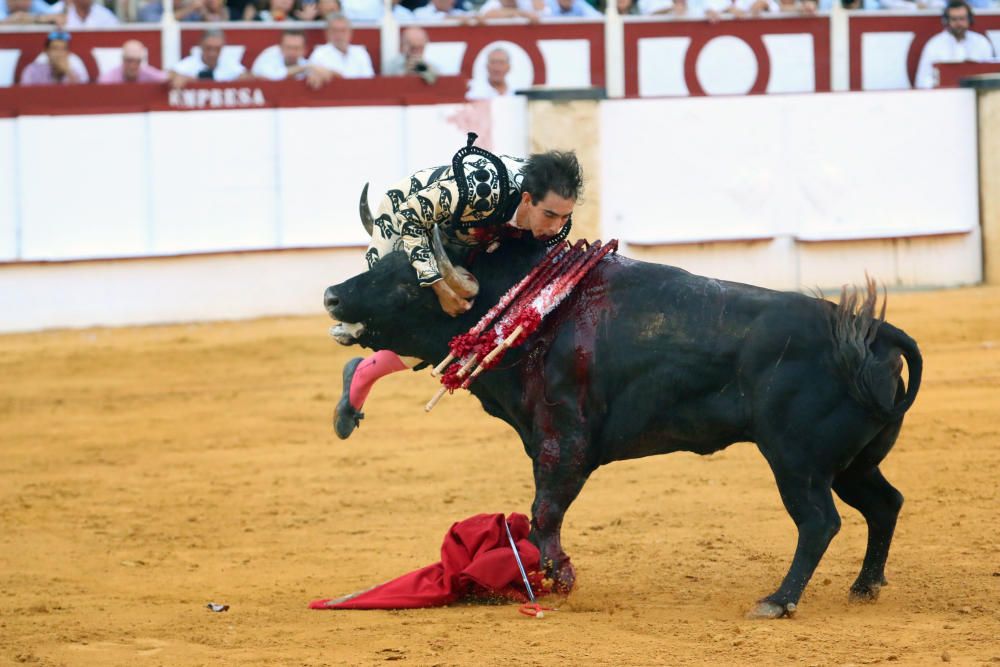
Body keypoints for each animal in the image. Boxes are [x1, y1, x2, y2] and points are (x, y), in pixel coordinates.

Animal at [322, 236, 920, 620]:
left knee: (819, 522)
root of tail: (871, 331)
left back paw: (777, 601)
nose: (332, 295)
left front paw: (557, 580)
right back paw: (864, 586)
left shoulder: (563, 439)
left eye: (404, 283)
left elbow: (544, 510)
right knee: (884, 503)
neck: (538, 314)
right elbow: (542, 512)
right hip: (851, 464)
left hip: (797, 462)